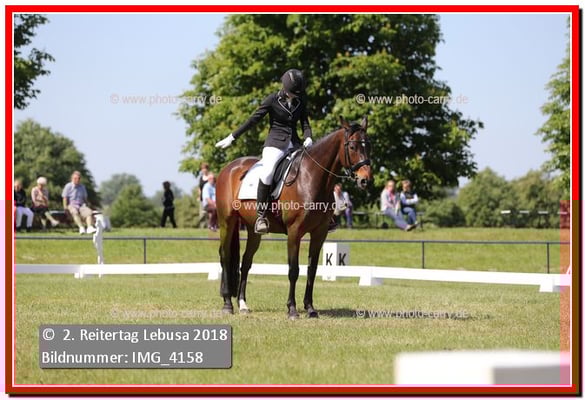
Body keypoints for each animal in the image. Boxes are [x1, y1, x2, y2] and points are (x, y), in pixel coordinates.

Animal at [216, 116, 372, 319]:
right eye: (352, 147)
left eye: (368, 145)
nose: (365, 179)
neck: (311, 177)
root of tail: (230, 167)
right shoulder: (294, 232)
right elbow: (293, 270)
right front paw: (292, 309)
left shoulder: (320, 233)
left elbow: (312, 270)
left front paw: (310, 308)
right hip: (226, 223)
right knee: (225, 257)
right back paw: (227, 304)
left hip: (253, 230)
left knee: (246, 262)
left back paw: (242, 304)